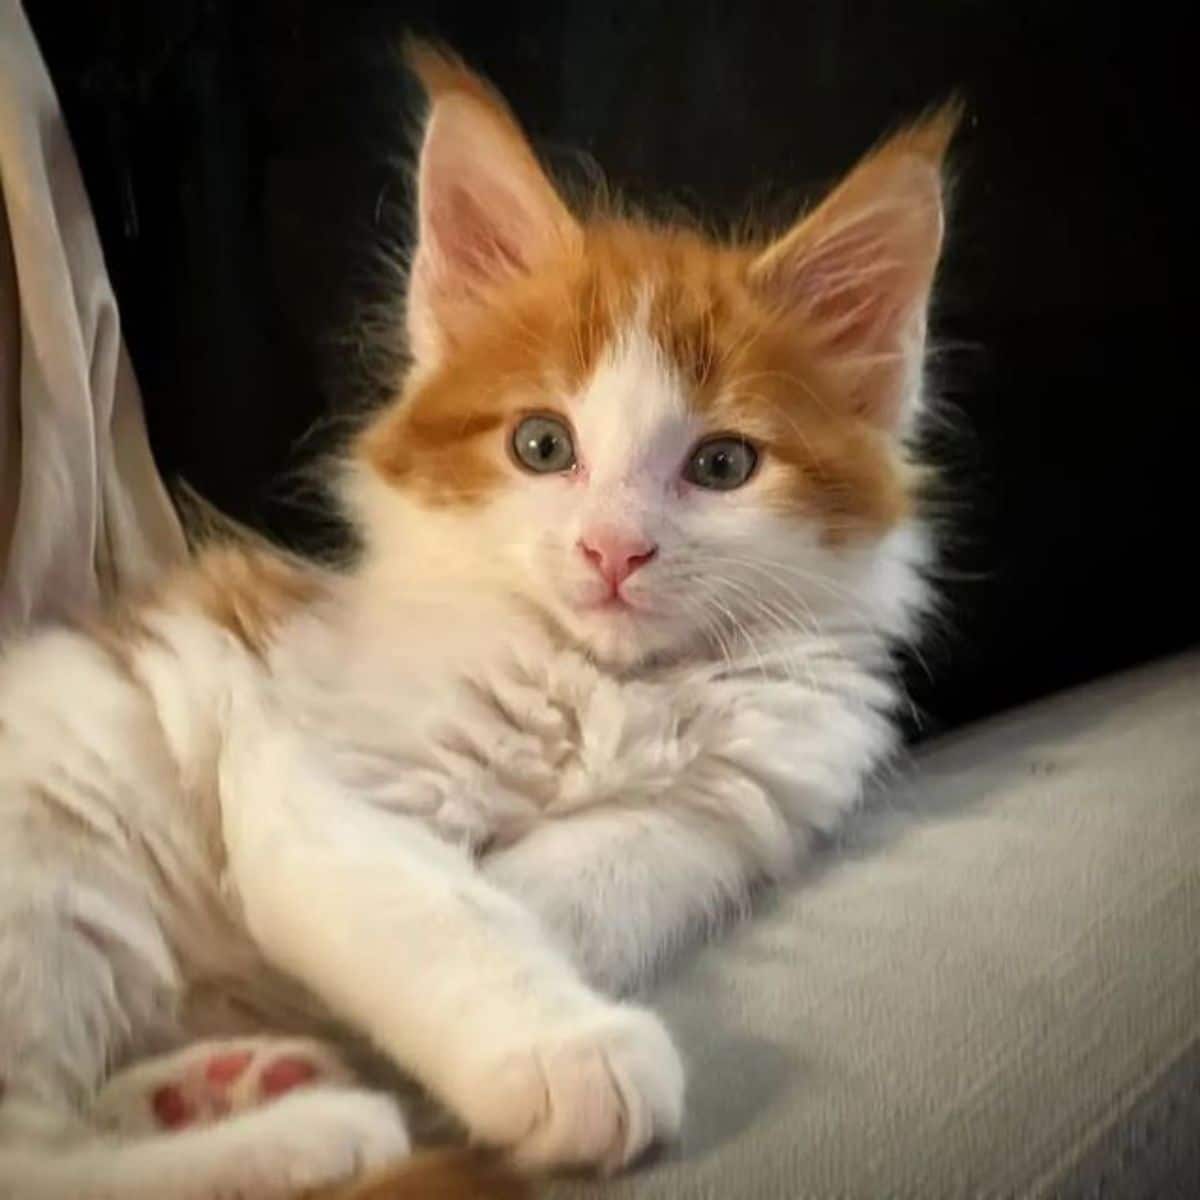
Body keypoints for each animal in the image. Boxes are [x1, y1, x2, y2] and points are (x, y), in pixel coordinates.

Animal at [0, 42, 955, 1200]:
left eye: (724, 465)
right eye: (542, 446)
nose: (612, 551)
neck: (601, 683)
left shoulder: (712, 818)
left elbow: (554, 897)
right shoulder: (316, 775)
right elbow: (441, 910)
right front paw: (568, 1052)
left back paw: (228, 1086)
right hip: (52, 876)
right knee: (31, 1154)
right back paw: (315, 1133)